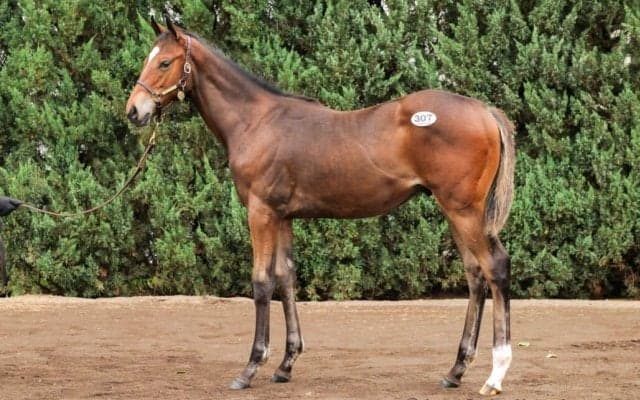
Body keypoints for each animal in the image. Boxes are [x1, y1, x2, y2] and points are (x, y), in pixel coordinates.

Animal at [126, 16, 516, 396]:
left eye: (164, 62)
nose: (133, 111)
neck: (256, 121)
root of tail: (484, 110)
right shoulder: (282, 216)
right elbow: (286, 277)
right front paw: (285, 365)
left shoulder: (260, 212)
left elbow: (262, 282)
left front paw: (250, 368)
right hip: (455, 211)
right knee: (475, 275)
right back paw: (456, 371)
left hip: (463, 210)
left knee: (495, 266)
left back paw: (495, 374)